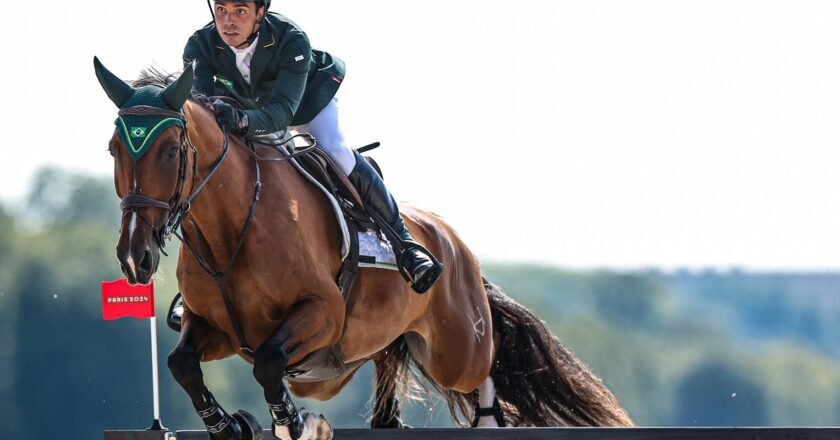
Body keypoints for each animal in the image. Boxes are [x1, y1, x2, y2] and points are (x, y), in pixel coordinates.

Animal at [93, 56, 632, 438]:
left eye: (170, 151)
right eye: (115, 149)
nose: (135, 257)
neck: (229, 232)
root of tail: (457, 247)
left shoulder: (322, 313)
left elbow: (269, 362)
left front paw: (294, 423)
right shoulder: (216, 329)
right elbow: (181, 364)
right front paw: (229, 427)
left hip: (456, 348)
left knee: (486, 362)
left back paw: (485, 417)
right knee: (390, 358)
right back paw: (388, 420)